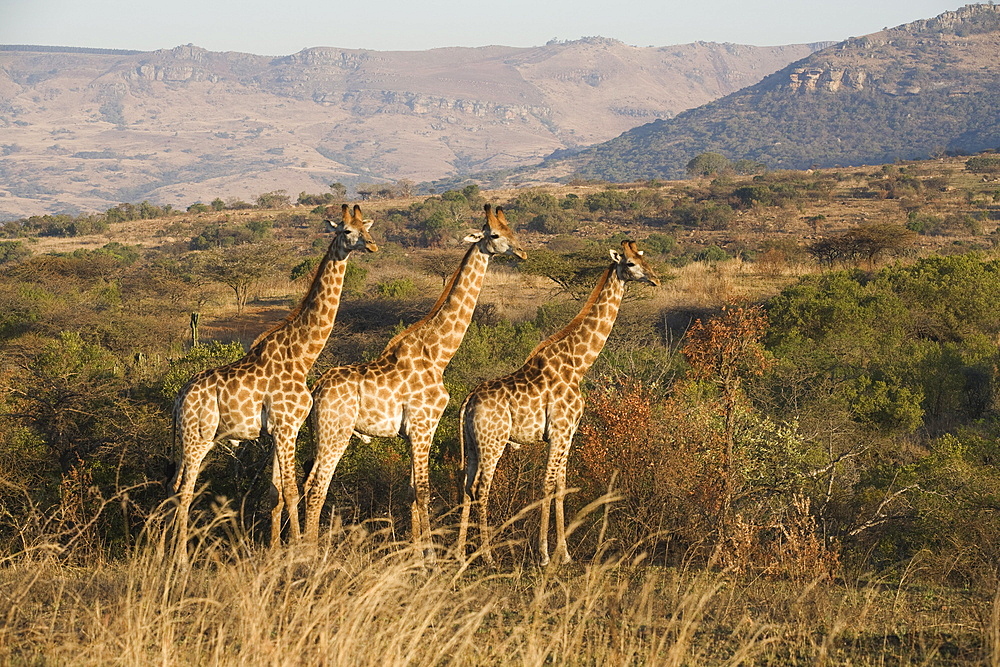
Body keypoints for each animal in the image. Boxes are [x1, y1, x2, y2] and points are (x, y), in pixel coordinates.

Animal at [170, 205, 376, 564]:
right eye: (347, 231)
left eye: (366, 227)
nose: (373, 246)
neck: (301, 356)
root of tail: (179, 399)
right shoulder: (286, 425)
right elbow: (291, 491)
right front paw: (298, 551)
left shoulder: (281, 429)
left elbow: (275, 492)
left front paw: (276, 550)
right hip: (198, 438)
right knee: (185, 490)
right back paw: (180, 558)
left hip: (191, 439)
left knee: (174, 487)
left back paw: (161, 550)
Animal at [302, 204, 524, 548]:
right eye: (497, 235)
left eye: (512, 229)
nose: (523, 252)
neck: (438, 354)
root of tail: (317, 387)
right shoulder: (423, 426)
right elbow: (423, 492)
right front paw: (430, 556)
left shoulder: (411, 433)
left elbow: (410, 492)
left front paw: (416, 552)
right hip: (336, 432)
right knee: (317, 488)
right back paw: (308, 554)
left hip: (320, 433)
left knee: (305, 483)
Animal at [458, 240, 660, 564]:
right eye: (629, 263)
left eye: (643, 257)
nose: (654, 279)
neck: (578, 364)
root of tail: (468, 399)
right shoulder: (558, 431)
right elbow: (548, 484)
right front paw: (543, 554)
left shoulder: (569, 434)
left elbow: (562, 485)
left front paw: (564, 554)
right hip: (494, 441)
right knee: (480, 488)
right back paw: (487, 556)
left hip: (473, 443)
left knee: (466, 485)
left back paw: (460, 554)